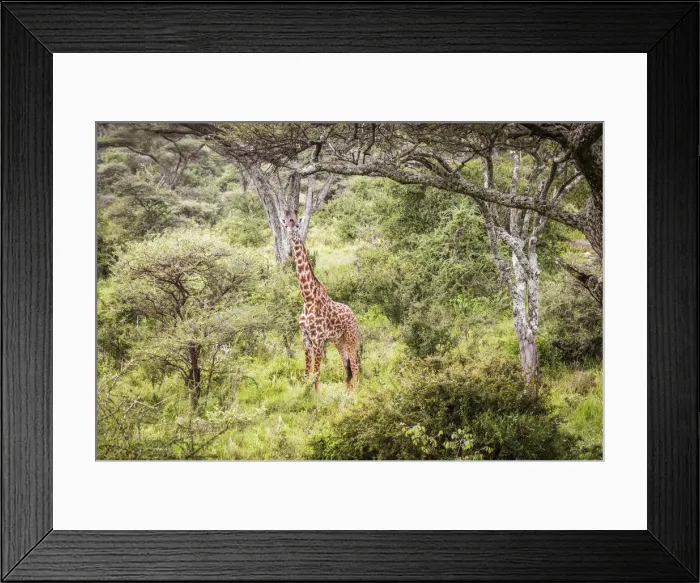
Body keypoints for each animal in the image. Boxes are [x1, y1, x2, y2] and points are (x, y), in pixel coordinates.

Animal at [281, 210, 360, 398]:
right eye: (285, 224)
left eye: (296, 224)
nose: (291, 234)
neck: (308, 298)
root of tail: (353, 314)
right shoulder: (306, 338)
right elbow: (307, 373)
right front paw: (306, 396)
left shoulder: (318, 339)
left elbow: (316, 373)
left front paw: (316, 399)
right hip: (339, 340)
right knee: (346, 365)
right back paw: (346, 395)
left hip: (351, 337)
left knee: (354, 366)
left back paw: (356, 396)